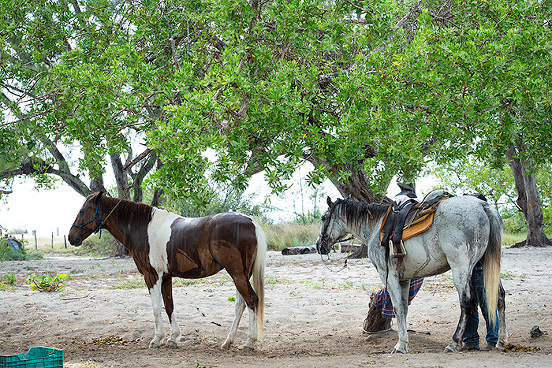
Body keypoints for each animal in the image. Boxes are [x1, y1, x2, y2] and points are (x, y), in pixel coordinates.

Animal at [68, 191, 266, 350]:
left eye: (82, 211)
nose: (71, 238)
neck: (143, 228)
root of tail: (252, 222)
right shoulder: (166, 277)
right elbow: (169, 305)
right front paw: (174, 337)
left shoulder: (152, 276)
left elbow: (156, 307)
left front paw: (157, 339)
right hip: (242, 275)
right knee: (241, 305)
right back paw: (228, 342)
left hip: (237, 274)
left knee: (251, 300)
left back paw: (249, 342)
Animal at [316, 196, 506, 354]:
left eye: (324, 218)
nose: (319, 245)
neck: (376, 228)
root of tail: (483, 206)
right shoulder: (405, 279)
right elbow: (405, 308)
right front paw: (404, 341)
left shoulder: (388, 276)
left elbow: (397, 308)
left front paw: (400, 345)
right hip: (486, 266)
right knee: (499, 297)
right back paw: (501, 342)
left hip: (460, 268)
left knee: (467, 302)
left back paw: (453, 343)